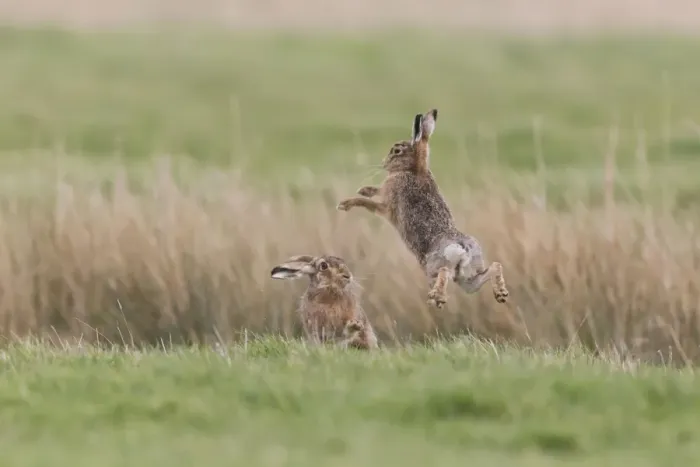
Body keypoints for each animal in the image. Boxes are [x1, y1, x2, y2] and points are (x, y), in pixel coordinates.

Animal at [336, 108, 509, 309]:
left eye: (396, 150)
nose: (384, 163)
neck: (414, 169)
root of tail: (462, 246)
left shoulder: (387, 206)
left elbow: (369, 203)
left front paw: (345, 203)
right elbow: (375, 191)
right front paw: (364, 189)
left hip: (434, 265)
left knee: (443, 272)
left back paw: (437, 297)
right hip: (468, 277)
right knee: (493, 267)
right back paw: (501, 293)